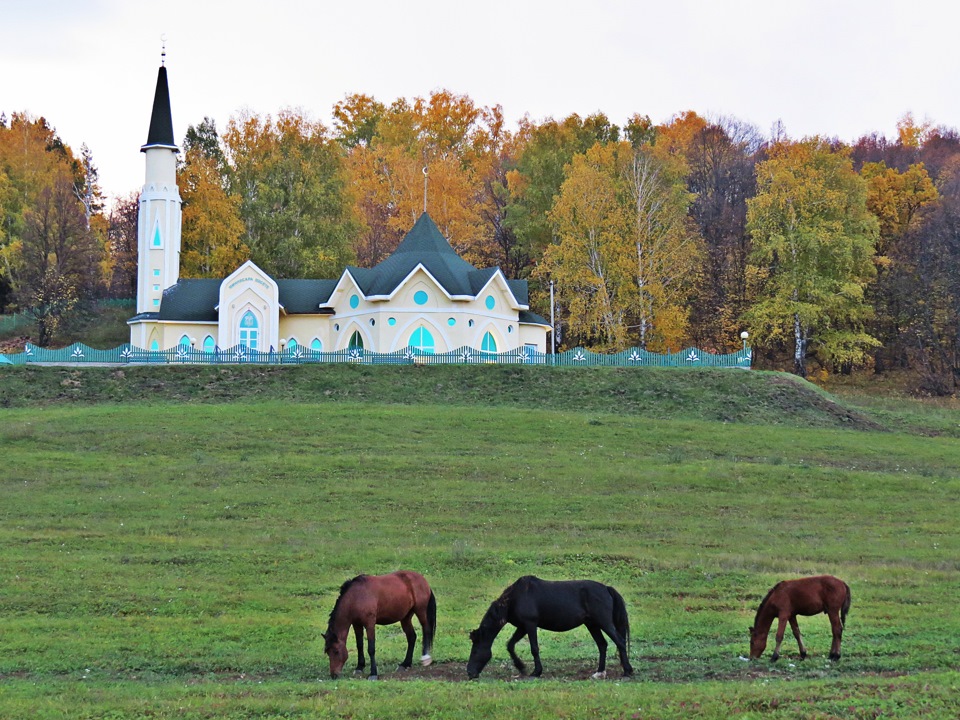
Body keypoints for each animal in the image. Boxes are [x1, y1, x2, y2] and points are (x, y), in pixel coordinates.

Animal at [464, 572, 632, 680]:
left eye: (475, 650)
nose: (470, 673)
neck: (515, 598)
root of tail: (607, 588)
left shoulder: (530, 624)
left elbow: (534, 648)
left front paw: (536, 672)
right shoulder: (522, 627)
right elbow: (510, 645)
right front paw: (521, 667)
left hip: (604, 623)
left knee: (620, 641)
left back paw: (627, 671)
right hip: (592, 624)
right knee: (602, 645)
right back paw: (599, 672)